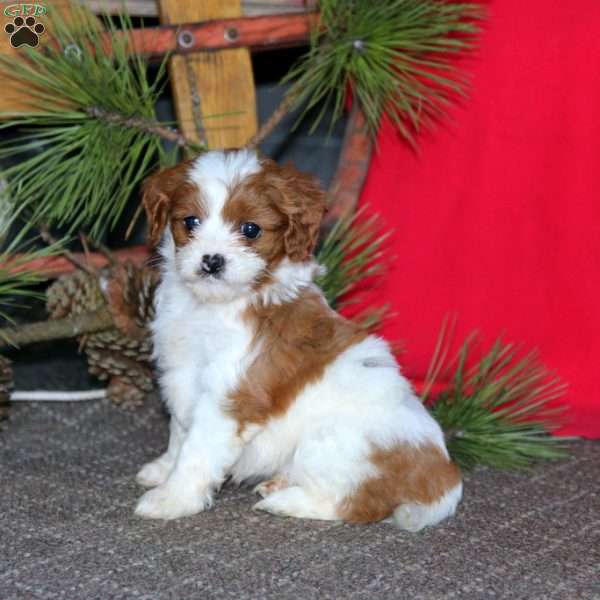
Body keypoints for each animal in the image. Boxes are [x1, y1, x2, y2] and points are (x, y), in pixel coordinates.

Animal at [137, 150, 464, 528]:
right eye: (190, 222)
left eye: (250, 229)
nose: (212, 261)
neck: (214, 304)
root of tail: (445, 477)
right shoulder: (181, 373)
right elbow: (179, 432)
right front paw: (163, 470)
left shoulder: (230, 395)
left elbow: (197, 449)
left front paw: (171, 499)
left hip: (332, 443)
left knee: (351, 503)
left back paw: (283, 500)